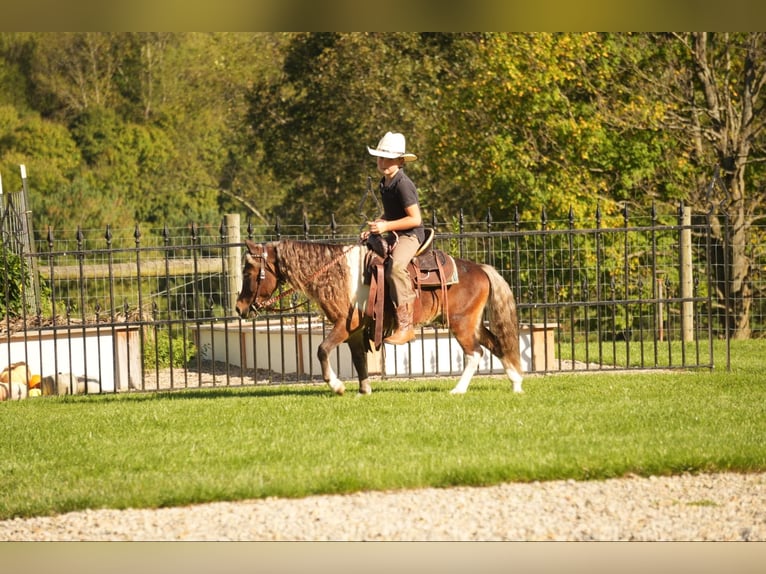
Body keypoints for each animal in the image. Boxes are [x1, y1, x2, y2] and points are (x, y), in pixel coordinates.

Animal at [234, 238, 524, 396]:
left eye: (248, 271)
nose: (238, 308)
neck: (339, 275)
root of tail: (481, 269)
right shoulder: (355, 332)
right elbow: (359, 360)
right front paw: (364, 390)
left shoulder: (345, 325)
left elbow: (322, 350)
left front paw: (336, 386)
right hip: (472, 323)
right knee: (496, 344)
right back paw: (516, 383)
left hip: (461, 323)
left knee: (475, 353)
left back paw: (458, 389)